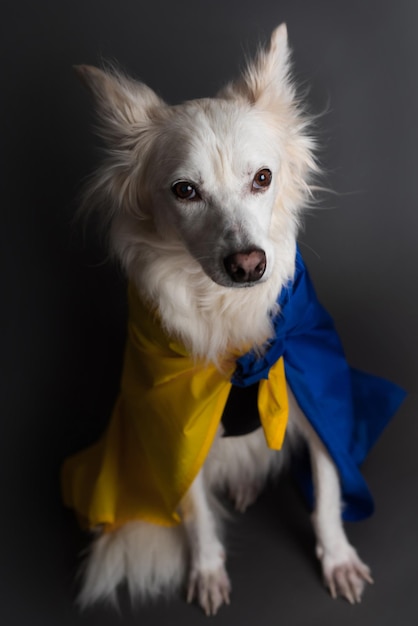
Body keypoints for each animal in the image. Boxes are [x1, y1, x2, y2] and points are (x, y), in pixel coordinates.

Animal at [60, 24, 400, 616]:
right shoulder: (176, 428)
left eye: (263, 178)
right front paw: (207, 568)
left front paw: (337, 557)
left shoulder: (316, 400)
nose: (248, 264)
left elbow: (329, 492)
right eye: (185, 191)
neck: (226, 313)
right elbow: (194, 510)